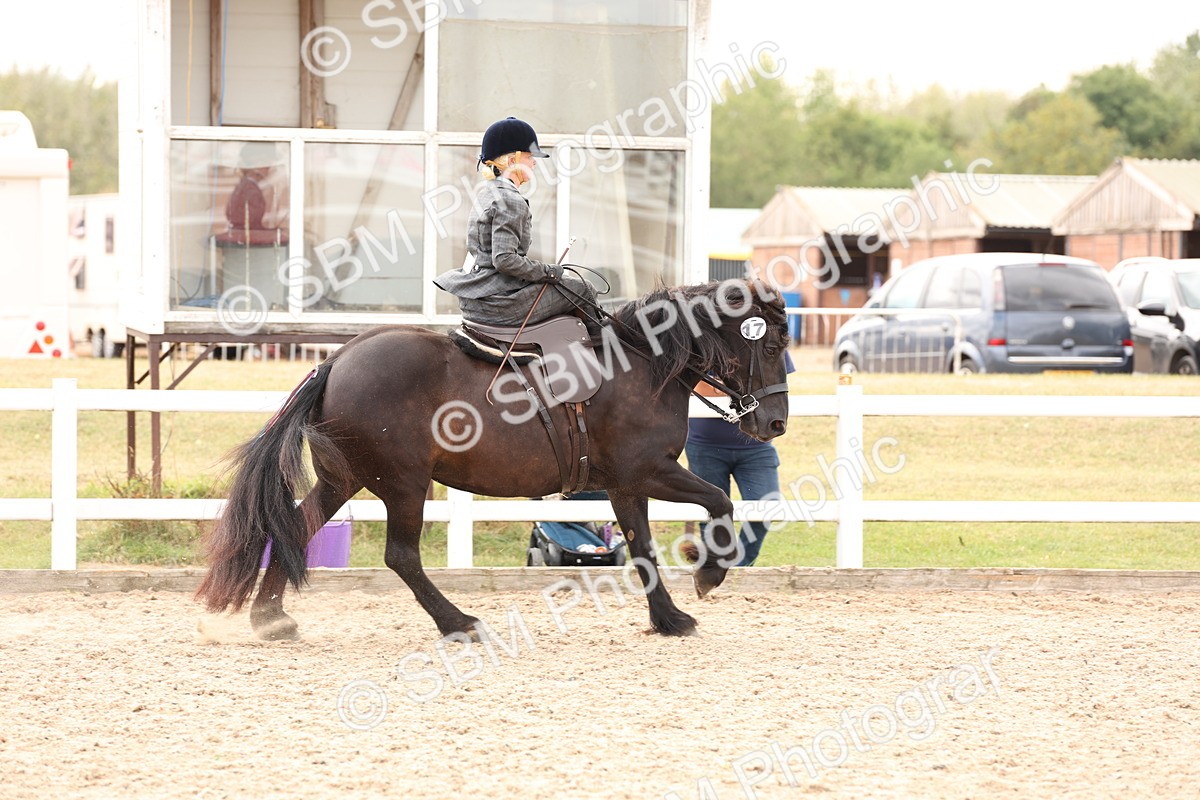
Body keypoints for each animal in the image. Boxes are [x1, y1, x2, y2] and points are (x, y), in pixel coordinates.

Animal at [195, 279, 791, 639]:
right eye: (769, 347)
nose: (775, 425)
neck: (645, 364)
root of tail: (337, 359)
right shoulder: (644, 473)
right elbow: (712, 507)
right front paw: (702, 579)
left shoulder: (630, 483)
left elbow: (652, 541)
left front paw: (674, 610)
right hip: (404, 484)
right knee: (401, 556)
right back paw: (457, 622)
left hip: (347, 479)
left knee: (297, 526)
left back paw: (271, 618)